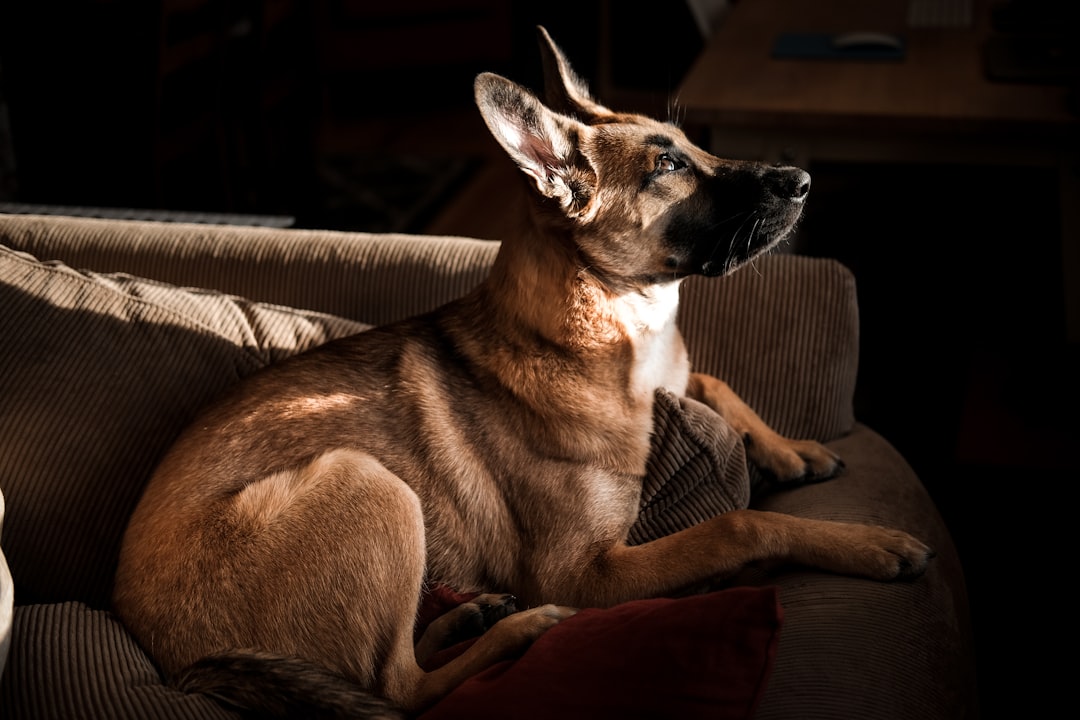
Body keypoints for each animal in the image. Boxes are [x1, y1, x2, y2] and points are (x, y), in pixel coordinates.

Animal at [113, 28, 933, 720]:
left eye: (691, 144)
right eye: (668, 167)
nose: (802, 179)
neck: (612, 325)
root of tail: (171, 657)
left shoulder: (676, 382)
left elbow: (714, 383)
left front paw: (793, 450)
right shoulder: (591, 574)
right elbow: (741, 524)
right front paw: (868, 544)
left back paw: (467, 617)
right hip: (369, 481)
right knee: (397, 689)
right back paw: (517, 630)